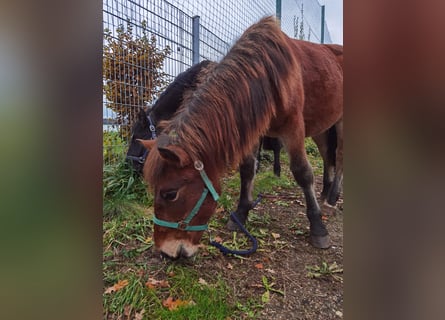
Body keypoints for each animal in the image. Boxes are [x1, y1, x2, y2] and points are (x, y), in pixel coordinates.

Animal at [140, 16, 342, 258]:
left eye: (170, 194)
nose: (166, 252)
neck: (267, 73)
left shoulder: (293, 129)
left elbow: (302, 173)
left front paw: (318, 228)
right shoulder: (253, 129)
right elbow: (247, 170)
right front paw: (241, 213)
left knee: (340, 158)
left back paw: (332, 199)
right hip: (323, 129)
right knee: (328, 157)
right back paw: (325, 193)